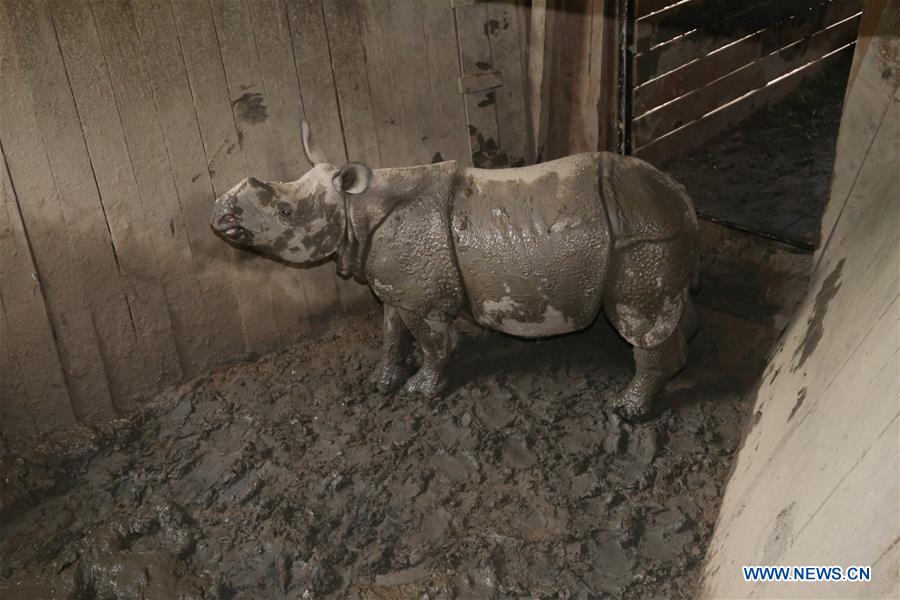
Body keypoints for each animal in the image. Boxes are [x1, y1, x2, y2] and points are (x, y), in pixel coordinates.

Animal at [211, 122, 699, 419]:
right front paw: (382, 383)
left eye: (285, 212)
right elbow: (391, 333)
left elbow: (432, 344)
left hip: (642, 238)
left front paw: (421, 392)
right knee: (664, 313)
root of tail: (679, 195)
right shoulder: (398, 286)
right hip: (652, 232)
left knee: (637, 322)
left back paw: (625, 410)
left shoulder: (423, 299)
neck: (355, 210)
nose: (220, 214)